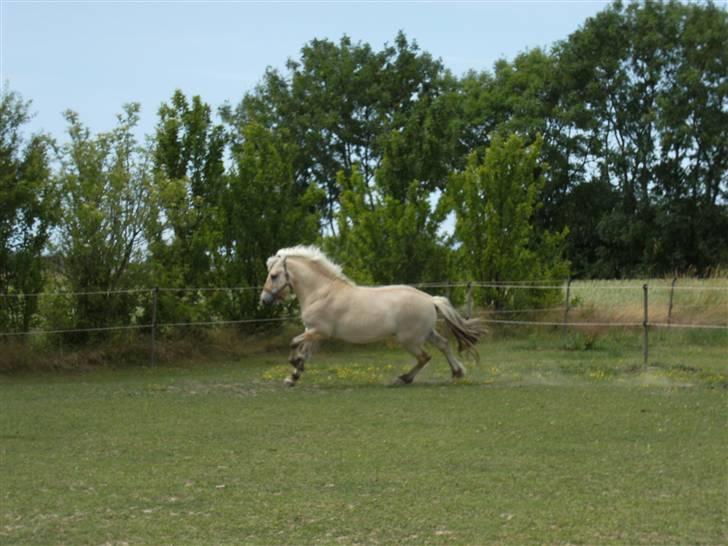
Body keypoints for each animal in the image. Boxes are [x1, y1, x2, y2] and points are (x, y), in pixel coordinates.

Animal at [258, 244, 486, 384]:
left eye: (274, 275)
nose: (264, 300)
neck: (320, 292)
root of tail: (430, 299)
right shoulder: (313, 333)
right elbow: (304, 352)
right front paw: (293, 377)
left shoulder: (319, 332)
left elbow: (294, 343)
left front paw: (294, 363)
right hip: (426, 333)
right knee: (444, 345)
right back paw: (457, 372)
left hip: (409, 340)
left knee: (425, 357)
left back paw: (404, 378)